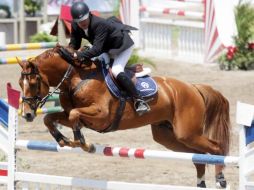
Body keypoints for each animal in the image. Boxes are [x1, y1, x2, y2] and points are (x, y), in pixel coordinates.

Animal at [17, 45, 231, 187]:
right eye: (20, 83)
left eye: (34, 82)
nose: (27, 114)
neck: (76, 78)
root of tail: (193, 87)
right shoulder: (74, 115)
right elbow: (51, 118)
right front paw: (63, 140)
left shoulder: (101, 116)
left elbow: (74, 116)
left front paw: (82, 143)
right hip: (168, 136)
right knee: (197, 156)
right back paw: (201, 182)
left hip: (187, 133)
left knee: (216, 148)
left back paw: (220, 179)